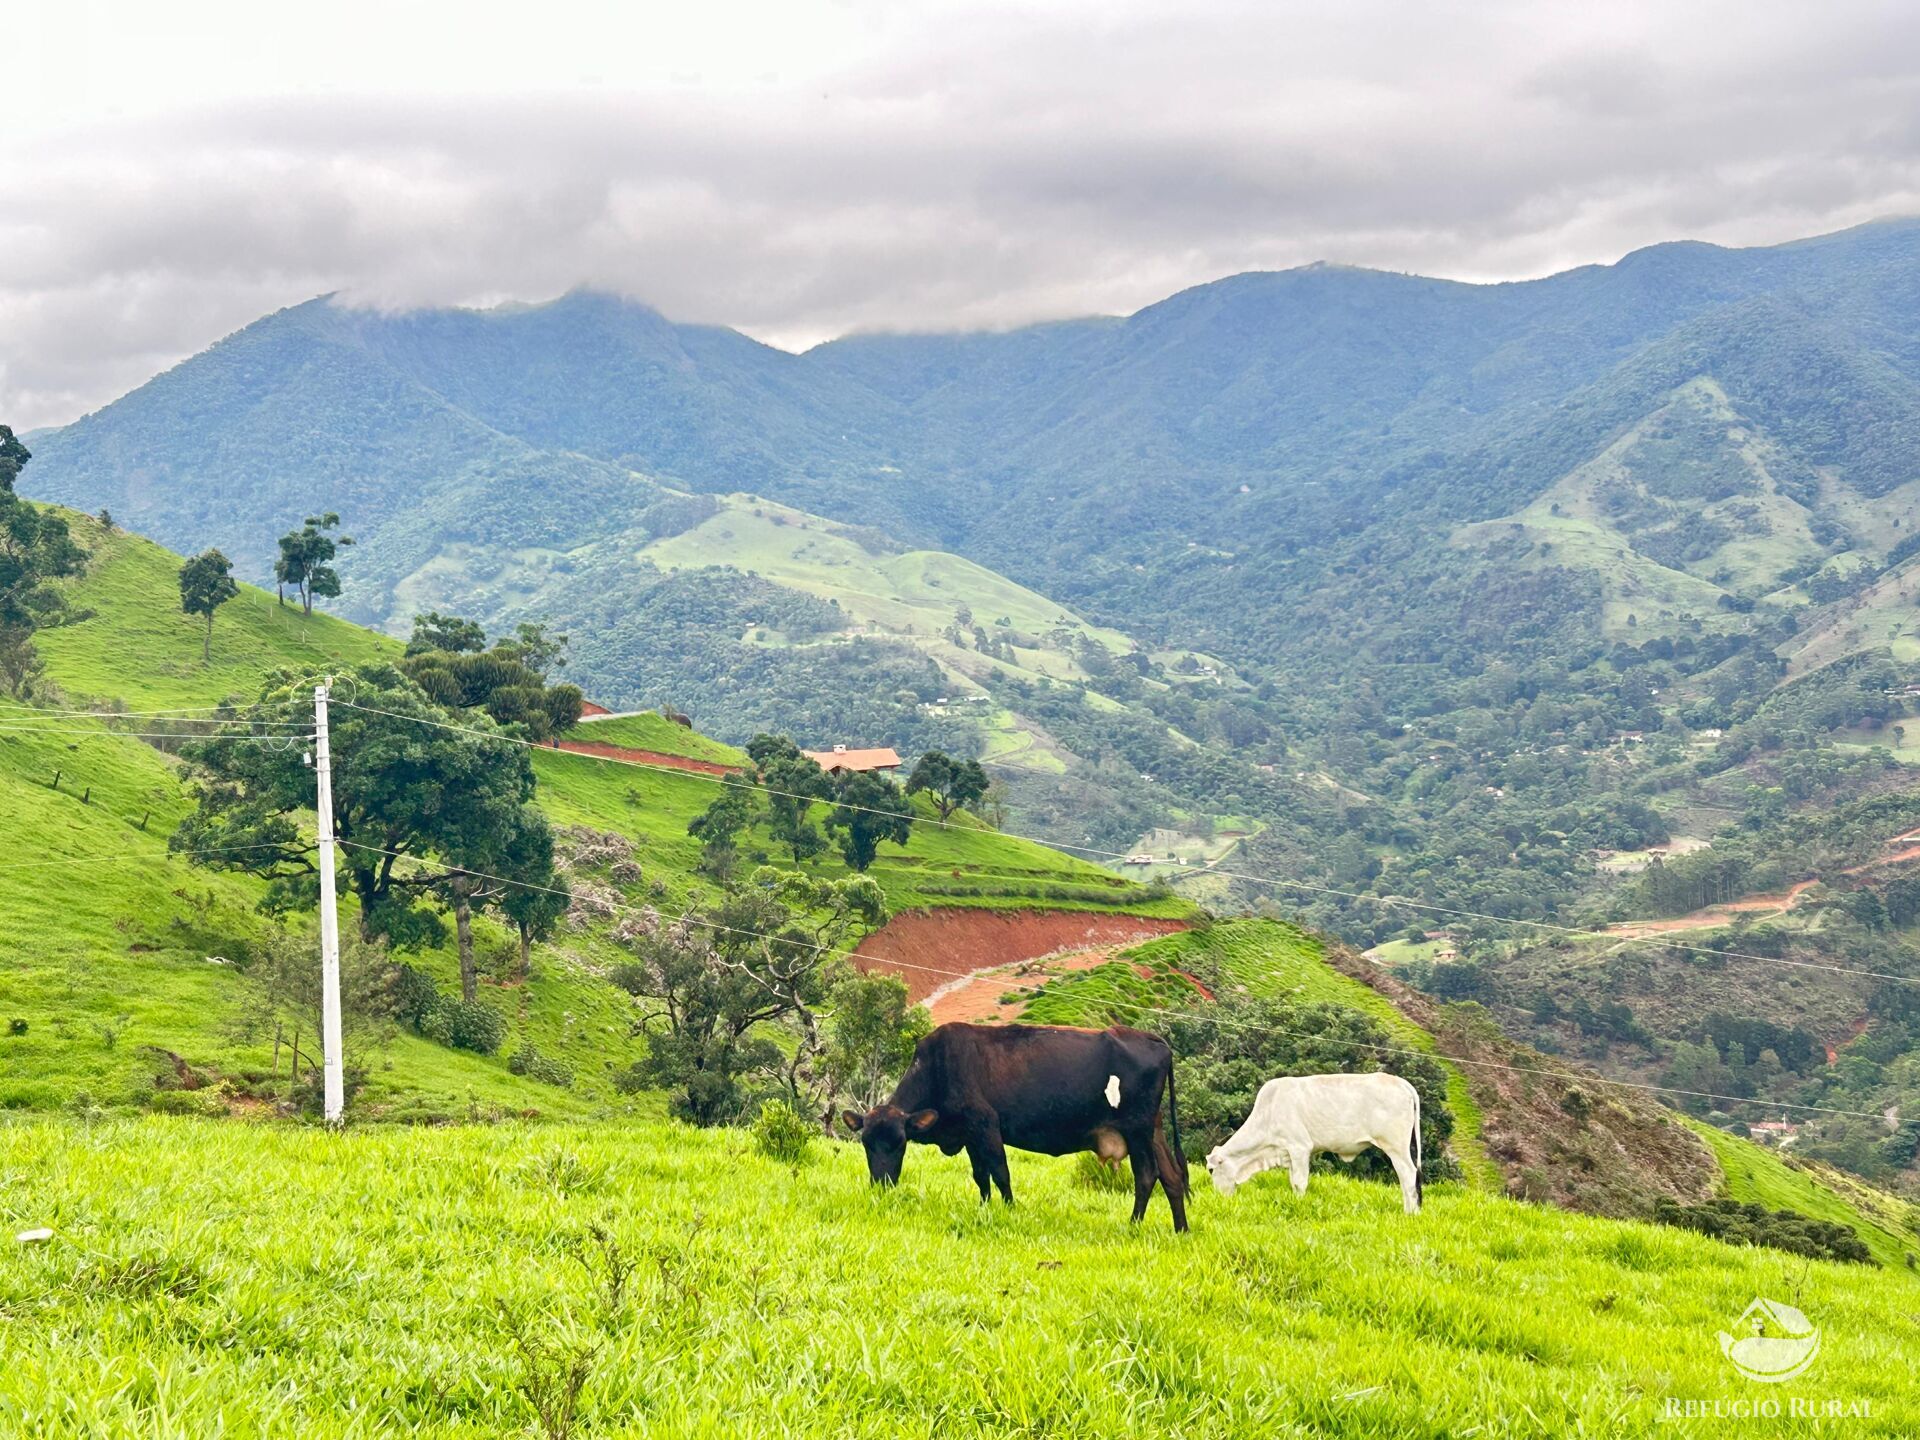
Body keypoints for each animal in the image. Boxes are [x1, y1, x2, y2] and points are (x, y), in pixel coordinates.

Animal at [840, 1021, 1182, 1236]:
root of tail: (1153, 1039)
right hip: (1154, 1132)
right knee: (1173, 1178)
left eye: (900, 1143)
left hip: (1137, 1131)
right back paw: (1181, 1230)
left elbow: (1001, 1173)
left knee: (1146, 1175)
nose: (881, 1183)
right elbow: (981, 1177)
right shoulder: (970, 1136)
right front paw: (985, 1208)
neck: (938, 1067)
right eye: (866, 1144)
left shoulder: (986, 1125)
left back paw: (1134, 1225)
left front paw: (1009, 1210)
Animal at [1198, 1075, 1428, 1221]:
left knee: (1408, 1176)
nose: (1218, 1198)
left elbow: (1300, 1183)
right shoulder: (1289, 1154)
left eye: (1211, 1170)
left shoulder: (1300, 1148)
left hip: (1396, 1147)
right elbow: (1293, 1182)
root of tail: (1401, 1083)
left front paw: (1299, 1205)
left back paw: (1410, 1213)